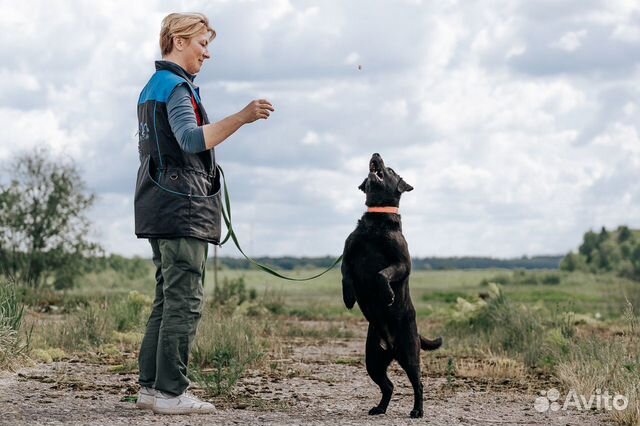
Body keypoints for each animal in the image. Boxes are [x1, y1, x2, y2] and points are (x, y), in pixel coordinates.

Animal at [342, 151, 442, 418]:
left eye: (391, 170)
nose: (376, 153)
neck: (376, 221)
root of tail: (390, 345)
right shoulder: (347, 255)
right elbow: (346, 276)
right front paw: (348, 298)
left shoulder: (402, 263)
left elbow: (381, 274)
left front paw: (387, 294)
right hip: (373, 360)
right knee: (388, 385)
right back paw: (379, 408)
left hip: (409, 354)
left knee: (418, 383)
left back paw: (417, 411)